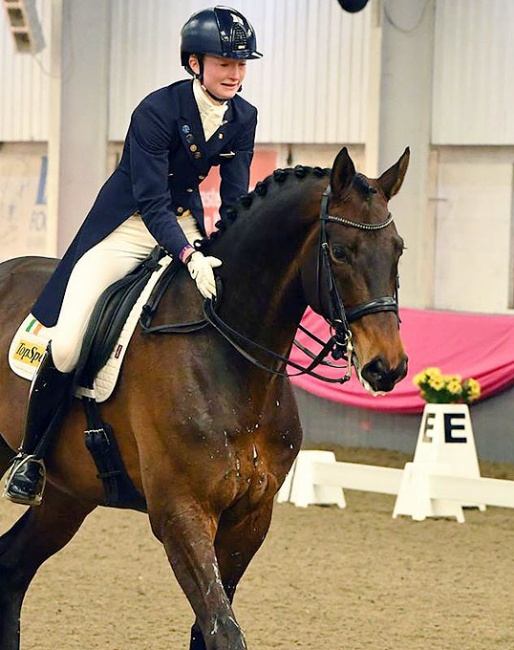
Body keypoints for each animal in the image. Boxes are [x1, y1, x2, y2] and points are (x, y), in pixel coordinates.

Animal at [0, 144, 408, 644]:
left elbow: (207, 628)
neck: (230, 356)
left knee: (12, 568)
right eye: (341, 252)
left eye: (398, 250)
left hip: (68, 493)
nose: (387, 367)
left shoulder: (250, 518)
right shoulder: (181, 514)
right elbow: (223, 630)